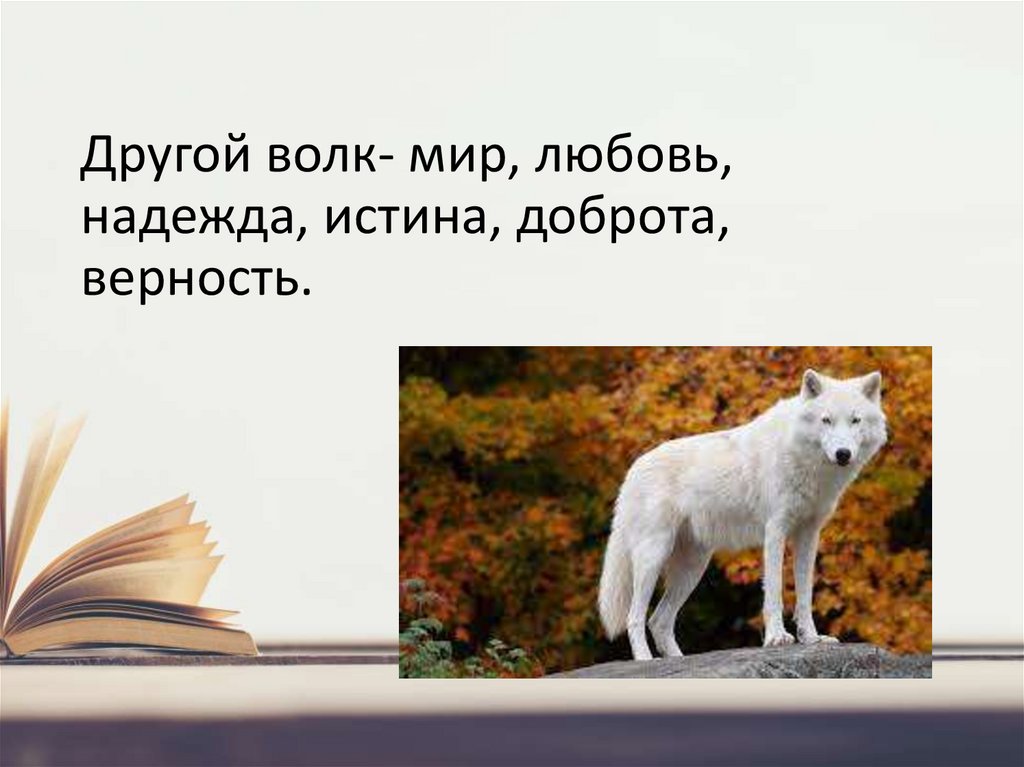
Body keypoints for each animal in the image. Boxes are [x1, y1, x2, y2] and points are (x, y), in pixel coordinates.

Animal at [598, 369, 888, 660]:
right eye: (826, 420)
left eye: (855, 420)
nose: (843, 454)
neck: (805, 459)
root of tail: (633, 469)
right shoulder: (775, 530)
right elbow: (775, 591)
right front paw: (776, 637)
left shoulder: (808, 534)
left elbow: (805, 595)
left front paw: (812, 638)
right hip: (653, 557)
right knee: (635, 618)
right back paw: (645, 660)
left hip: (693, 568)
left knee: (659, 621)